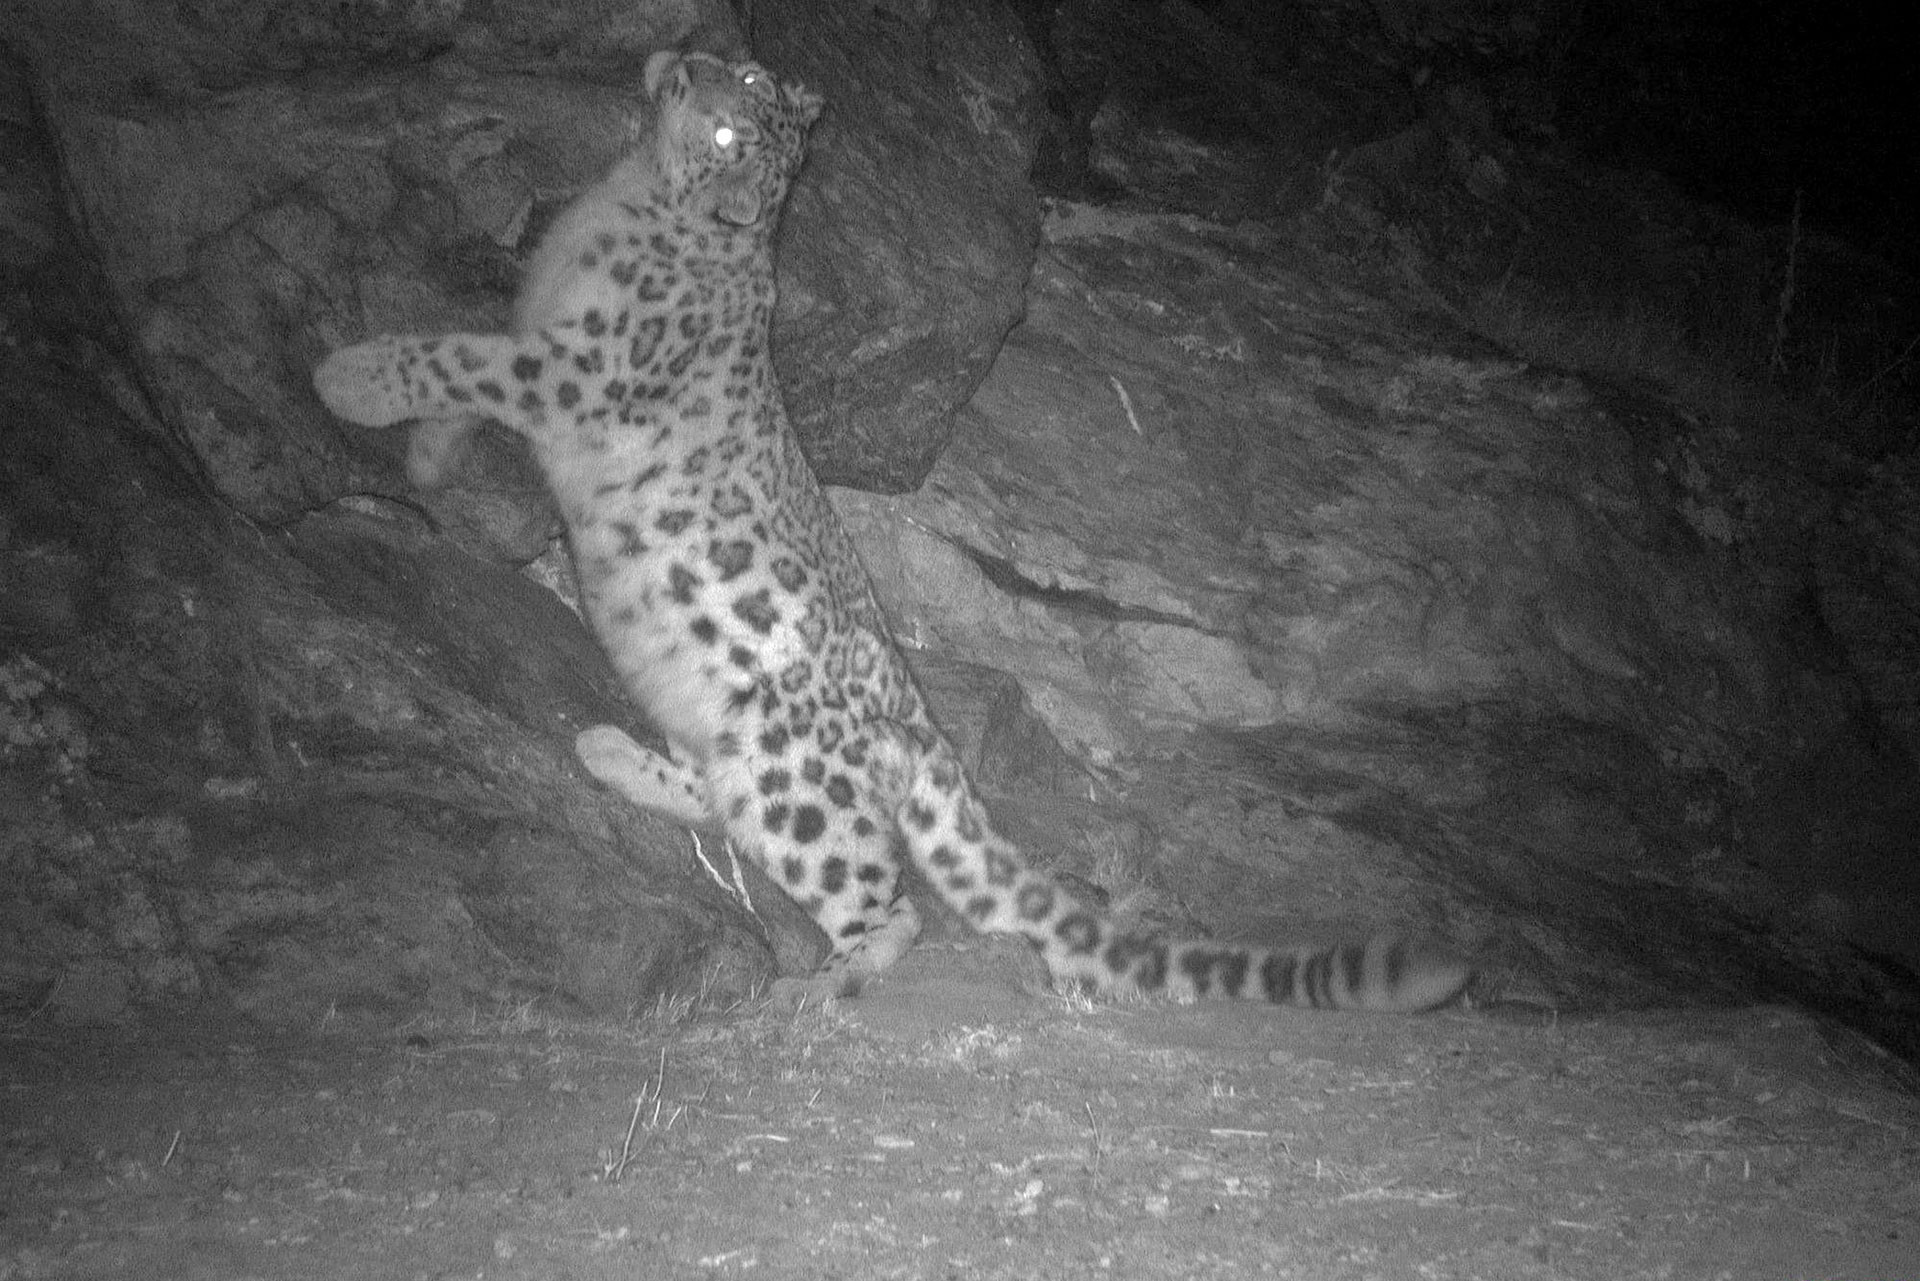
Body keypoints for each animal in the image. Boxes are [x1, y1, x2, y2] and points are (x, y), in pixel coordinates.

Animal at [313, 49, 1471, 1012]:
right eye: (730, 84)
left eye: (734, 125)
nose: (684, 57)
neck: (624, 200)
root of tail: (921, 720)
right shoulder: (540, 339)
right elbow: (467, 373)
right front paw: (425, 459)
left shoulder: (579, 368)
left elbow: (456, 354)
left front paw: (351, 379)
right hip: (741, 745)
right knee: (730, 802)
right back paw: (609, 752)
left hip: (798, 782)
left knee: (887, 898)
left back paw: (825, 980)